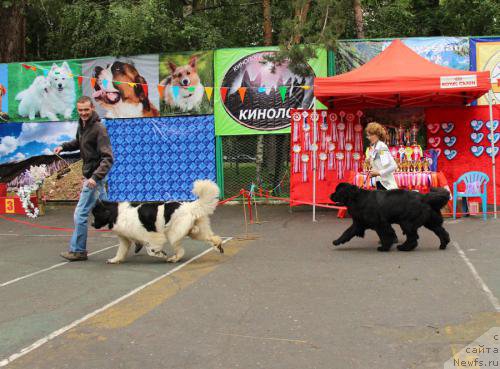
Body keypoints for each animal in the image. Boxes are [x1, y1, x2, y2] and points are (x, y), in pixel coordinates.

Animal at [90, 179, 223, 262]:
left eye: (96, 214)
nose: (91, 224)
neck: (116, 214)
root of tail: (189, 206)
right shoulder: (125, 239)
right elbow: (121, 251)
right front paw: (114, 260)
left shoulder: (151, 235)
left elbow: (150, 249)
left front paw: (160, 254)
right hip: (197, 231)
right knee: (212, 237)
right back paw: (218, 246)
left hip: (172, 233)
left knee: (180, 250)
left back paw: (173, 258)